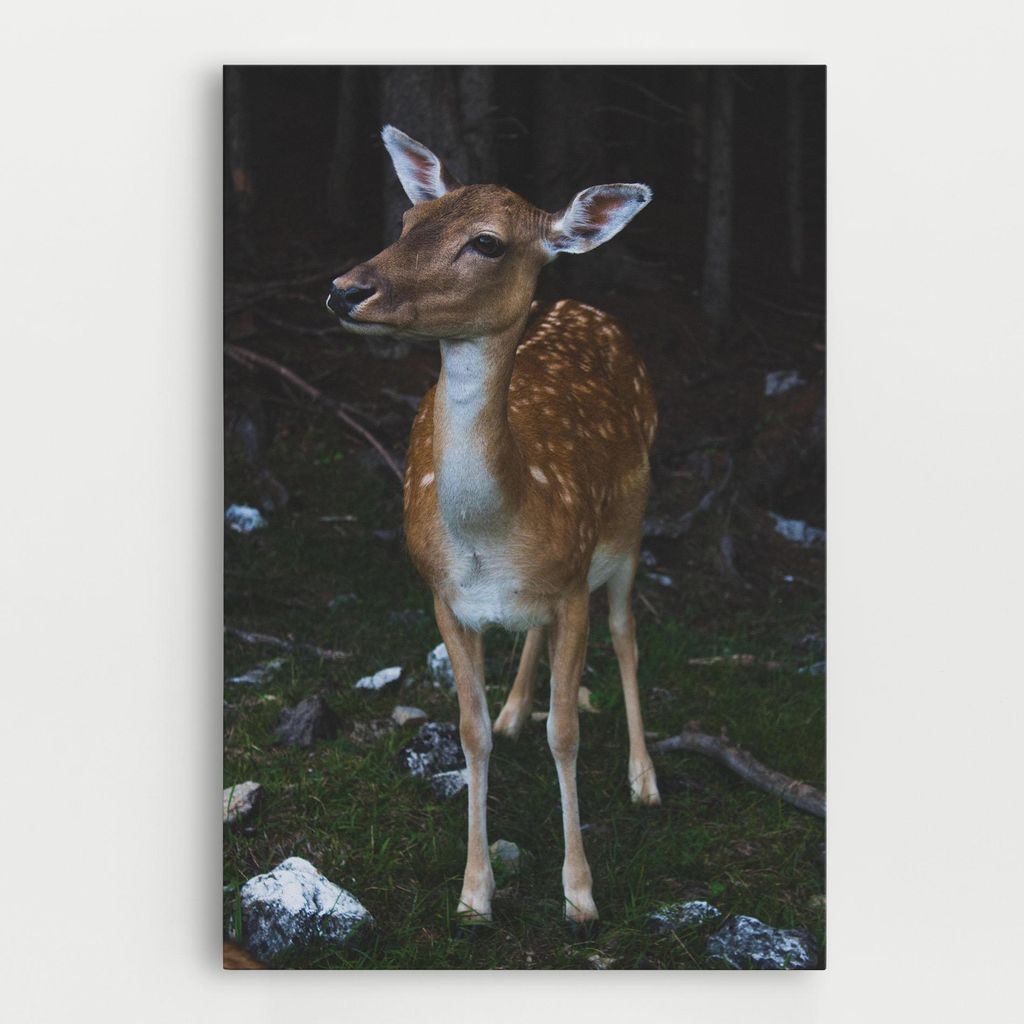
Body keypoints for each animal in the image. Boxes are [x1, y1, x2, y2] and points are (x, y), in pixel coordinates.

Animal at [326, 125, 661, 927]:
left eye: (486, 242)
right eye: (410, 221)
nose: (346, 289)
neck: (494, 532)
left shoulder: (572, 583)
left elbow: (566, 731)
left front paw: (580, 893)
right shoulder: (444, 596)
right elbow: (469, 732)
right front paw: (475, 893)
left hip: (630, 527)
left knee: (626, 632)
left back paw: (645, 780)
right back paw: (515, 711)